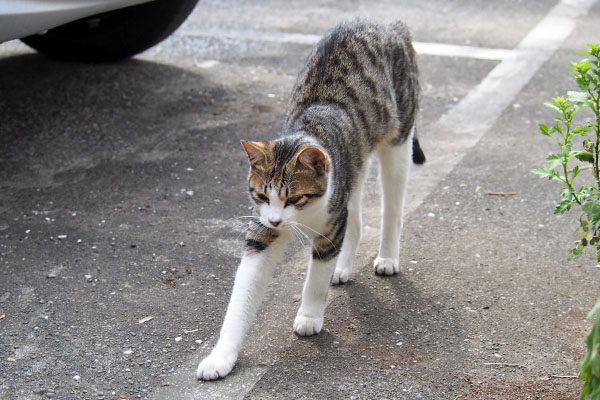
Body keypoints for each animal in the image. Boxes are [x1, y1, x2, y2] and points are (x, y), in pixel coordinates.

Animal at [196, 18, 422, 382]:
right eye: (262, 194)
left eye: (295, 197)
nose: (276, 219)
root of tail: (388, 23)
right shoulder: (262, 231)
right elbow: (242, 294)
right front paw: (222, 356)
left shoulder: (330, 225)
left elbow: (316, 278)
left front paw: (310, 316)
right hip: (353, 170)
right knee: (356, 221)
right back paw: (343, 268)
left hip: (399, 143)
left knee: (392, 208)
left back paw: (387, 256)